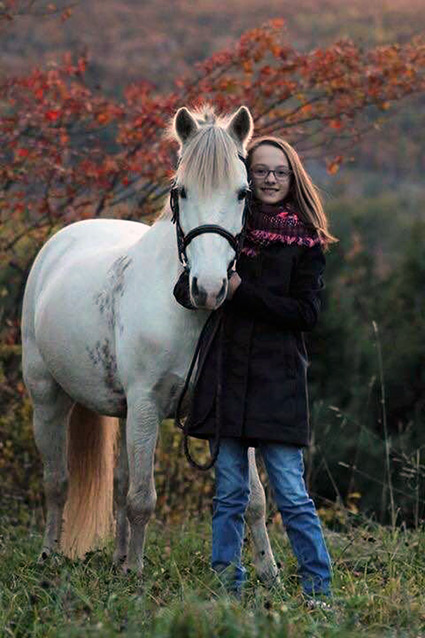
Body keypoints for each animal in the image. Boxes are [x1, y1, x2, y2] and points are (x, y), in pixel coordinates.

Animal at [21, 104, 278, 584]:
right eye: (181, 191)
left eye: (243, 193)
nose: (208, 289)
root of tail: (60, 242)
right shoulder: (145, 406)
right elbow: (143, 499)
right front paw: (138, 576)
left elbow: (253, 499)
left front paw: (268, 573)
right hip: (49, 399)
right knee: (57, 482)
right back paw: (50, 556)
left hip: (122, 414)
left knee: (120, 483)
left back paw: (119, 558)